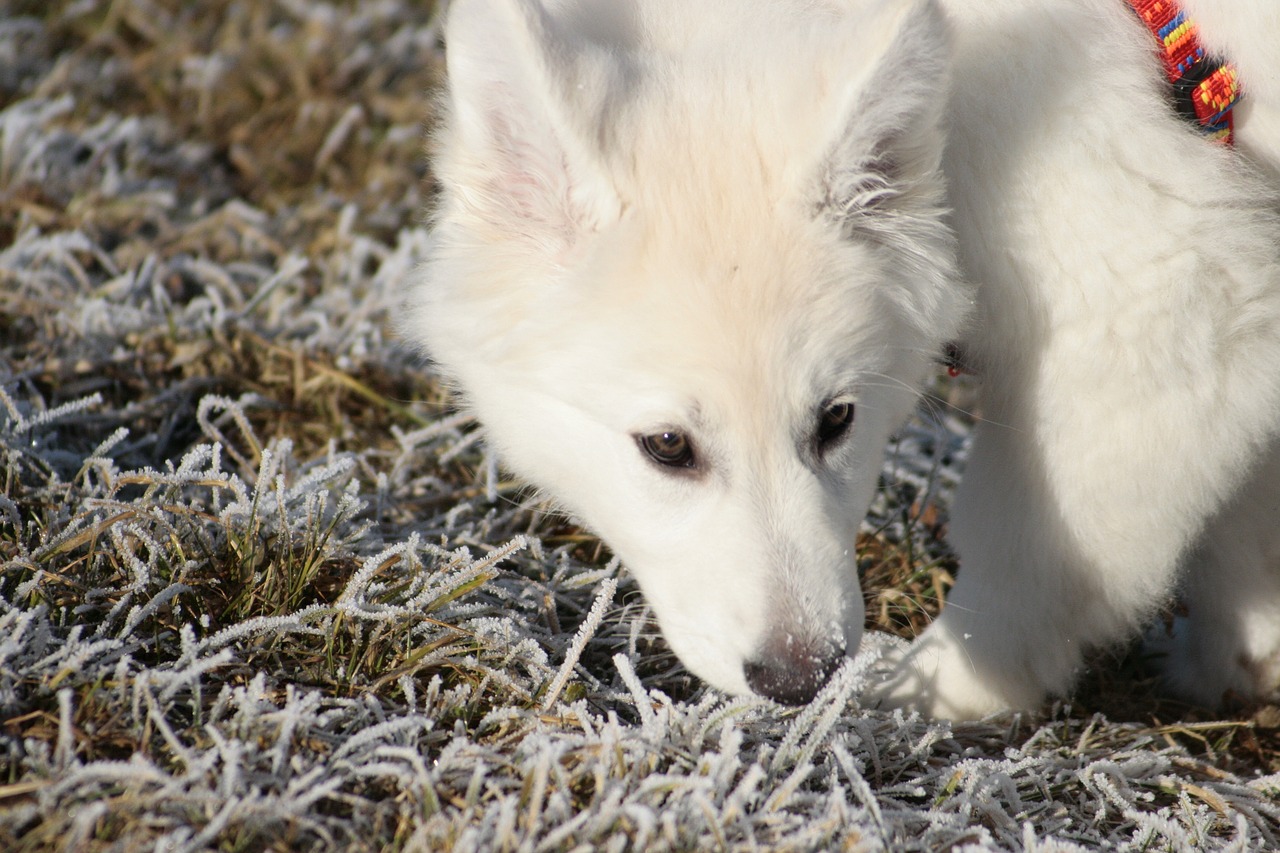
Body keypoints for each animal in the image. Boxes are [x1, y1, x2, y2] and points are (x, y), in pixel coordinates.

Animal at [407, 0, 1280, 717]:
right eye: (667, 446)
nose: (803, 680)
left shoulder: (1154, 304)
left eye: (836, 421)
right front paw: (1244, 651)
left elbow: (1026, 547)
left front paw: (928, 693)